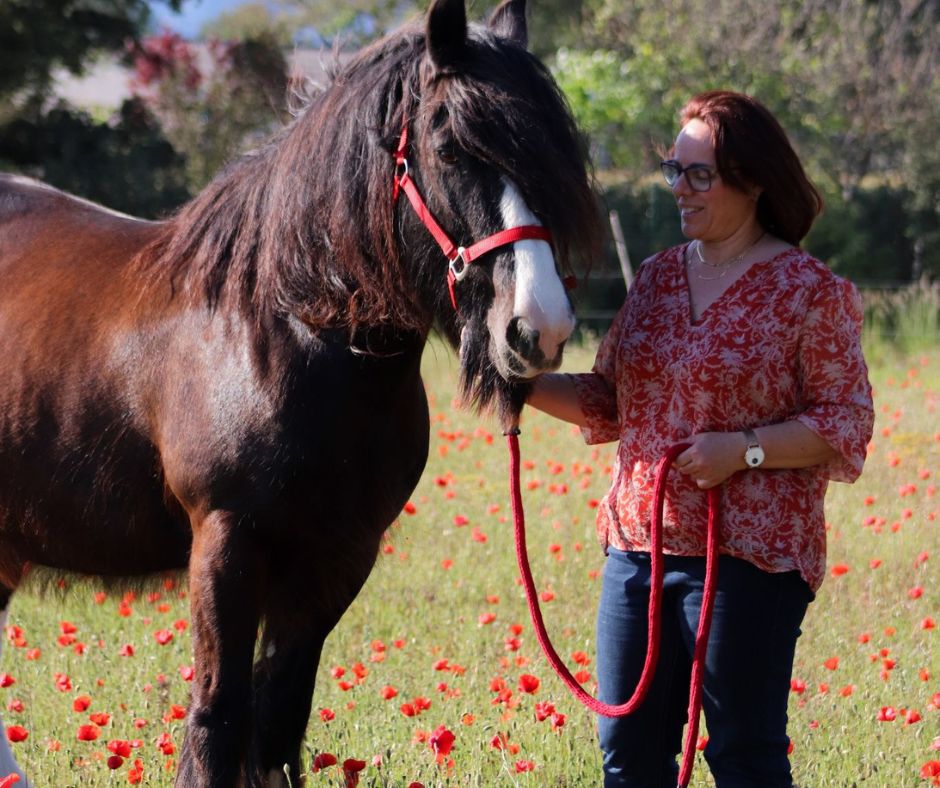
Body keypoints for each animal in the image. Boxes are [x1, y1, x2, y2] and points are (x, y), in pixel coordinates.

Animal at [0, 0, 604, 784]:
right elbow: (219, 718)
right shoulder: (226, 544)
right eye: (448, 147)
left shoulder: (337, 559)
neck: (291, 332)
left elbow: (279, 725)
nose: (539, 327)